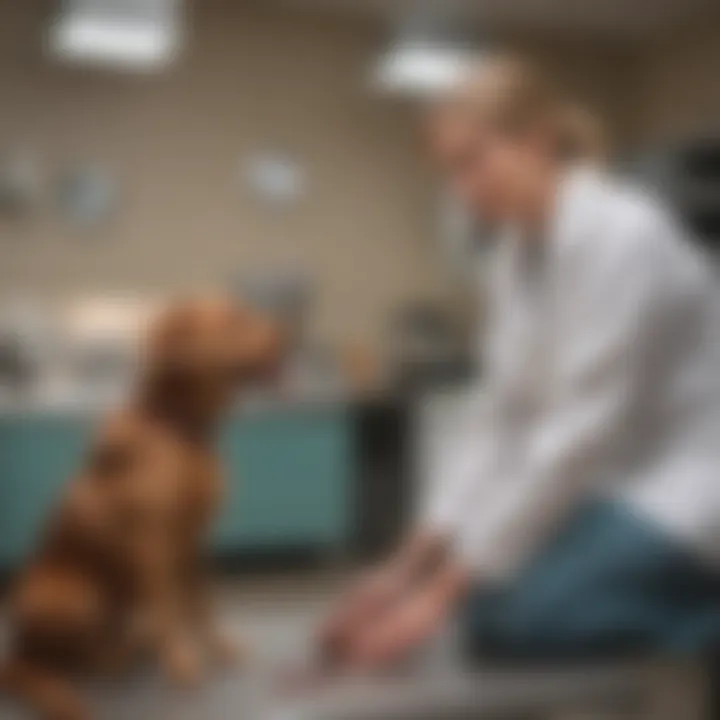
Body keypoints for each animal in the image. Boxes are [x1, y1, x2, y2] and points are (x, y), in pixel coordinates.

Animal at [1, 296, 282, 720]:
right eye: (235, 318)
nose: (291, 336)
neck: (176, 427)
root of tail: (17, 653)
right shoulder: (152, 543)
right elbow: (170, 611)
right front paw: (184, 668)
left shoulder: (194, 541)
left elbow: (203, 603)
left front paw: (219, 650)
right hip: (66, 595)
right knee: (66, 661)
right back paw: (111, 660)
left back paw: (133, 646)